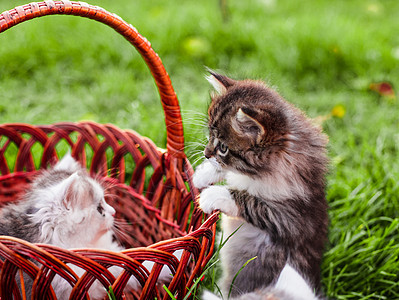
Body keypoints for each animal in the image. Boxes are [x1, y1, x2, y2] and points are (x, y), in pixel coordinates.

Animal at [194, 72, 328, 298]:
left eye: (223, 147)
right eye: (210, 136)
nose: (205, 153)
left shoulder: (291, 218)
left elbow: (250, 201)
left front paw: (214, 195)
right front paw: (203, 174)